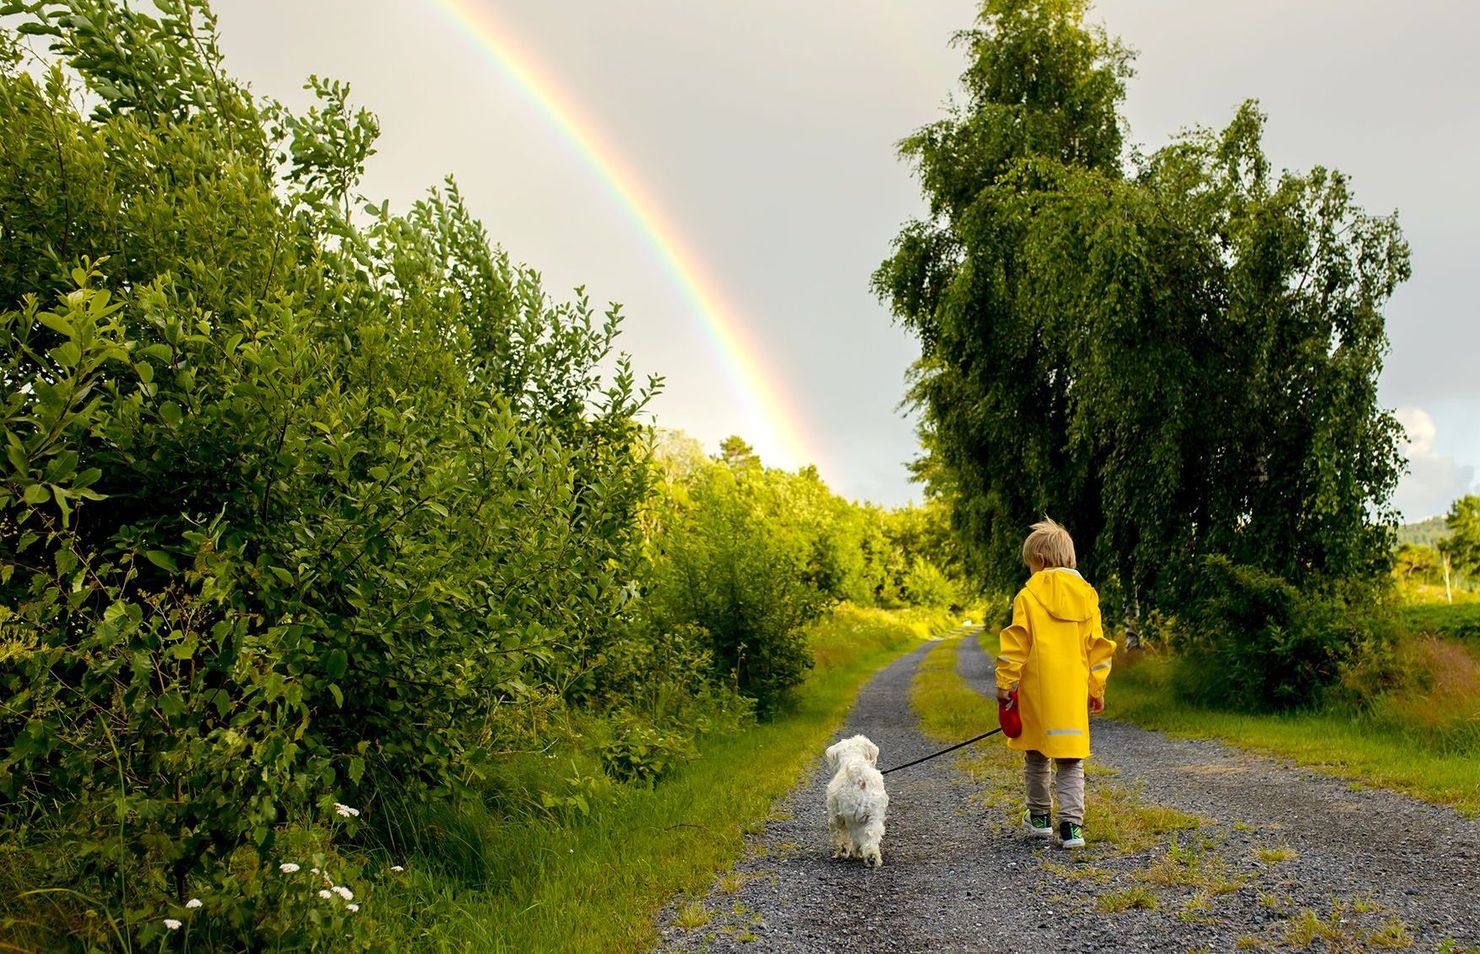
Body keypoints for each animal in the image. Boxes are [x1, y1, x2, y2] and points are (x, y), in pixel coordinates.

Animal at [822, 733, 888, 869]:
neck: (852, 757)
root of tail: (860, 778)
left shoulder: (836, 817)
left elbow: (839, 834)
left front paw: (842, 851)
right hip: (873, 816)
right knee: (870, 836)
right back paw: (872, 858)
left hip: (851, 817)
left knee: (856, 836)